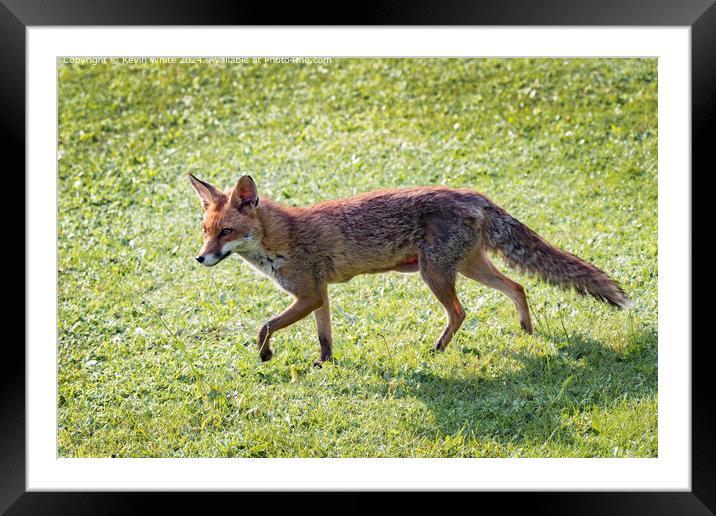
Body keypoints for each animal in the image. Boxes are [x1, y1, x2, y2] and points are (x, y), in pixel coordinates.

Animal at [187, 174, 628, 366]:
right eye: (206, 231)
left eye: (226, 232)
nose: (200, 259)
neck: (284, 238)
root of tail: (471, 193)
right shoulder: (320, 295)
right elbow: (324, 338)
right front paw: (324, 364)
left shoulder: (307, 294)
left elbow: (264, 325)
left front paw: (265, 355)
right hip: (470, 267)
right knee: (518, 287)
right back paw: (527, 332)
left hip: (435, 275)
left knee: (461, 312)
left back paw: (437, 349)